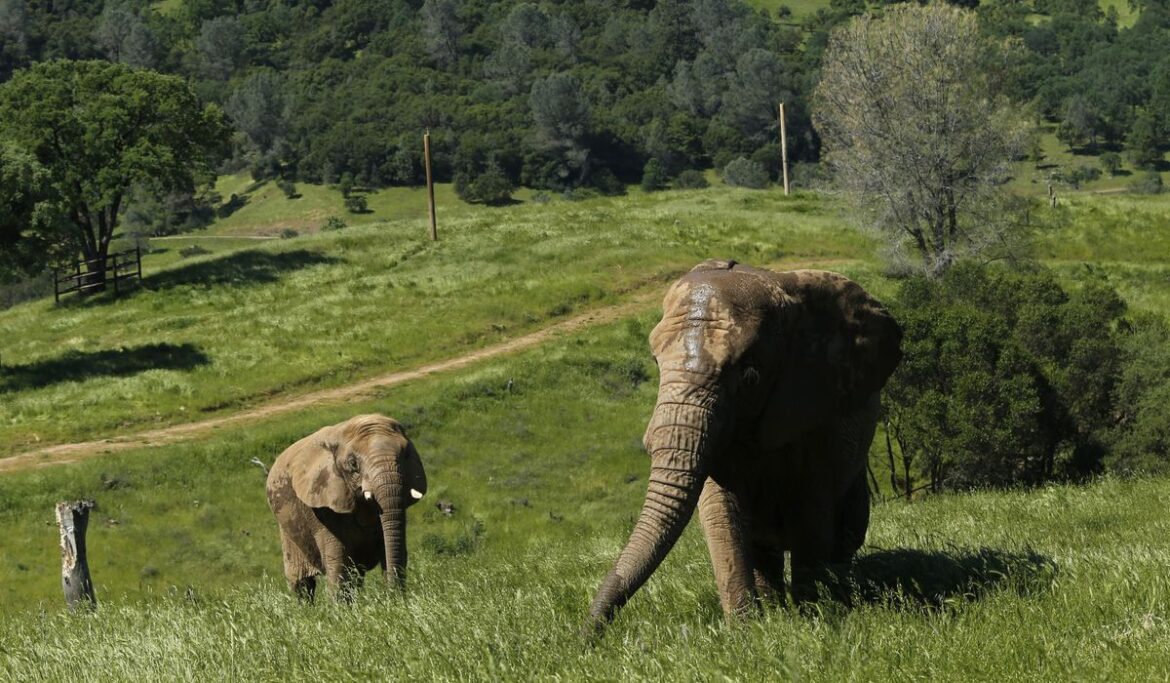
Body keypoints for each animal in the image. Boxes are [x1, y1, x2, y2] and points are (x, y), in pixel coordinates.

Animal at [266, 414, 427, 600]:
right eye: (353, 463)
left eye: (406, 454)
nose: (393, 596)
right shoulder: (323, 506)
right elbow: (338, 566)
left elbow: (392, 550)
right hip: (287, 531)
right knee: (302, 584)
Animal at [586, 259, 902, 630]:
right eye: (655, 361)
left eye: (749, 375)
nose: (586, 634)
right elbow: (721, 513)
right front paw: (747, 631)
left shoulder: (817, 415)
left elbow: (811, 510)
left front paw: (815, 617)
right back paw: (775, 610)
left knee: (847, 530)